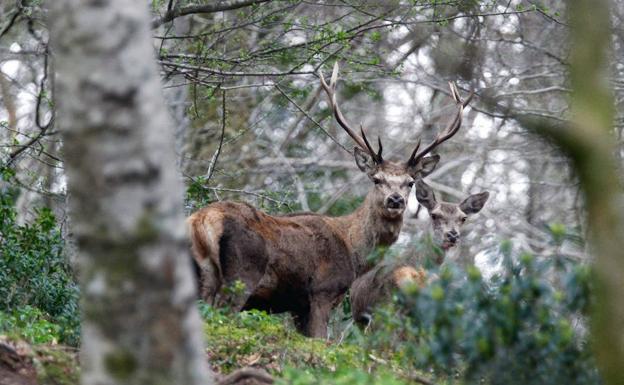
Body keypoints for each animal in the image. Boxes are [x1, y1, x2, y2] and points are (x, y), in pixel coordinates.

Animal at [188, 63, 470, 336]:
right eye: (376, 179)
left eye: (409, 183)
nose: (395, 200)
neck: (354, 250)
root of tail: (202, 220)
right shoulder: (323, 292)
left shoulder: (298, 307)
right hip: (242, 273)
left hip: (202, 273)